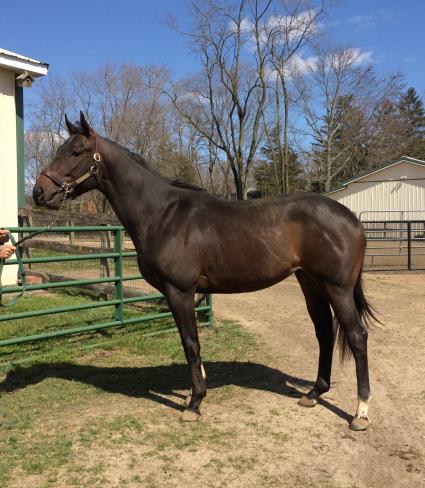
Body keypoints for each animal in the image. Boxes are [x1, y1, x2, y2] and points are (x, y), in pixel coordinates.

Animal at [33, 111, 376, 430]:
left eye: (75, 152)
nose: (39, 192)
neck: (161, 214)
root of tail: (350, 217)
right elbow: (193, 343)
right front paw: (196, 392)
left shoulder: (180, 291)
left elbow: (190, 344)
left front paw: (195, 403)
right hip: (311, 283)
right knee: (324, 332)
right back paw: (314, 394)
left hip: (337, 288)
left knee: (357, 336)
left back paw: (360, 412)